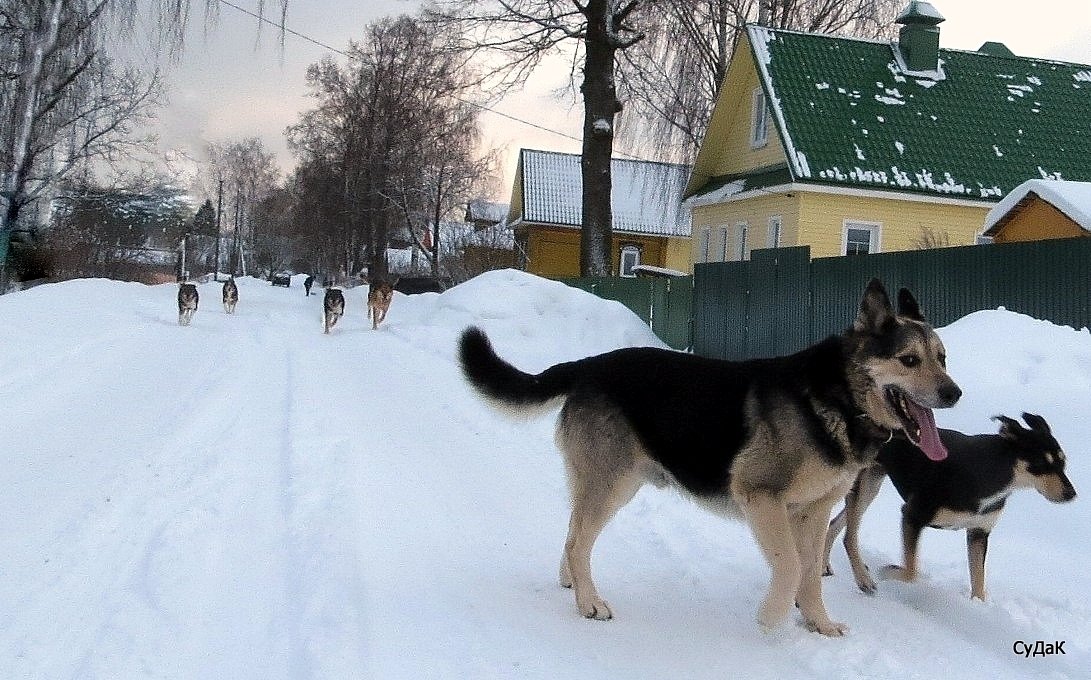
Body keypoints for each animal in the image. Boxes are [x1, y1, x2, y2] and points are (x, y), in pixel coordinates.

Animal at [456, 279, 960, 637]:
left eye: (942, 357)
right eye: (909, 360)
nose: (954, 393)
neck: (839, 397)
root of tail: (590, 365)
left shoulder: (813, 513)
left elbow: (812, 573)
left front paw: (817, 622)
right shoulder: (761, 497)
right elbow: (792, 566)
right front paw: (773, 617)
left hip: (610, 484)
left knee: (572, 533)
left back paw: (572, 585)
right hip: (612, 485)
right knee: (579, 541)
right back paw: (589, 602)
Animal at [824, 414, 1073, 602]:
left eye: (1063, 462)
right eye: (1040, 463)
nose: (1071, 494)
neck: (989, 471)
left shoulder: (979, 532)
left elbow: (978, 580)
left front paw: (978, 606)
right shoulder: (912, 515)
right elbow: (912, 571)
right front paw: (888, 571)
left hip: (871, 483)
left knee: (836, 523)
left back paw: (825, 566)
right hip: (862, 484)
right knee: (849, 536)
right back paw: (862, 578)